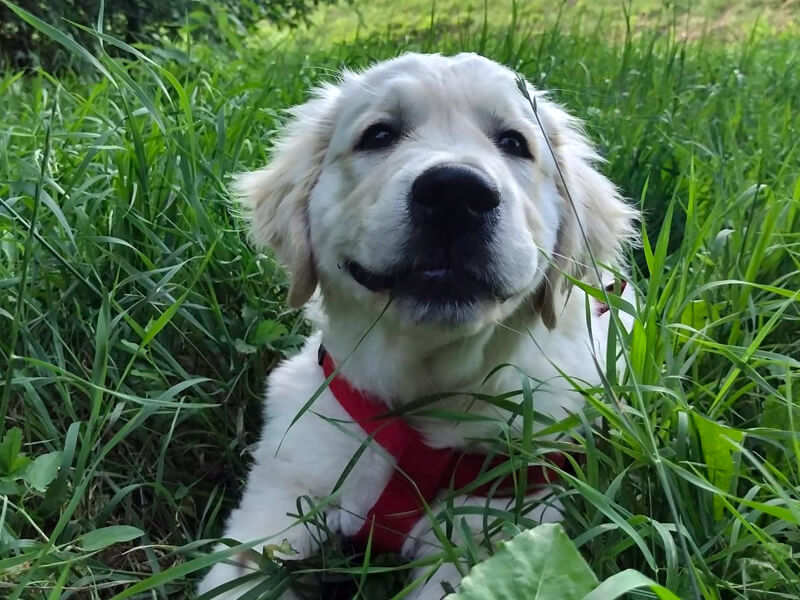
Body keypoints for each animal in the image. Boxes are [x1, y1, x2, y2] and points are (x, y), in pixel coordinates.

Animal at [200, 52, 636, 600]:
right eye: (379, 135)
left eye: (514, 143)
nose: (456, 193)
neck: (424, 390)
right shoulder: (284, 488)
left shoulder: (489, 523)